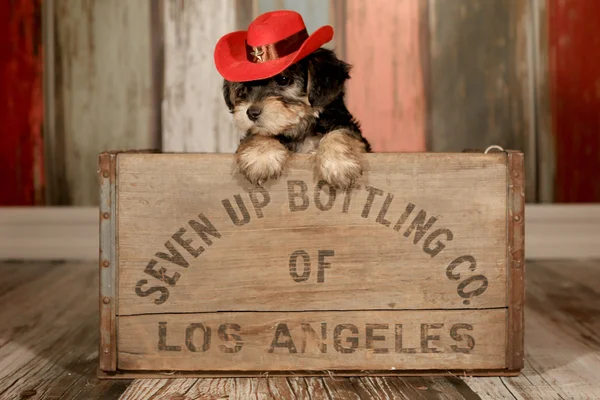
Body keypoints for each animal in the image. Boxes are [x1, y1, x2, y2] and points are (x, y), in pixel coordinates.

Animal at [221, 48, 370, 189]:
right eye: (245, 87)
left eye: (283, 79)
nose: (251, 113)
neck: (301, 128)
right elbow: (259, 133)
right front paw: (260, 155)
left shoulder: (344, 125)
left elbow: (341, 133)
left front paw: (337, 164)